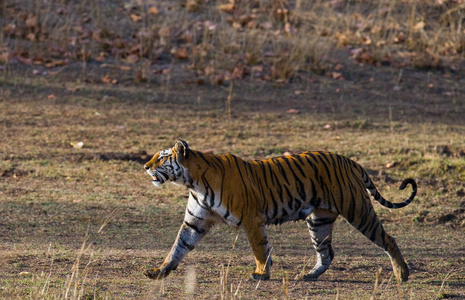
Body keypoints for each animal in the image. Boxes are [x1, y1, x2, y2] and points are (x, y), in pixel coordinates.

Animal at [142, 139, 416, 282]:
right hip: (319, 220)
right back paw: (309, 276)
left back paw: (402, 273)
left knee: (388, 239)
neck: (194, 183)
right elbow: (178, 247)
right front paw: (159, 271)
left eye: (162, 157)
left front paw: (261, 273)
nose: (145, 166)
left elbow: (260, 248)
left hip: (357, 210)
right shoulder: (194, 221)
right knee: (326, 252)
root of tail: (349, 160)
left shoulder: (252, 219)